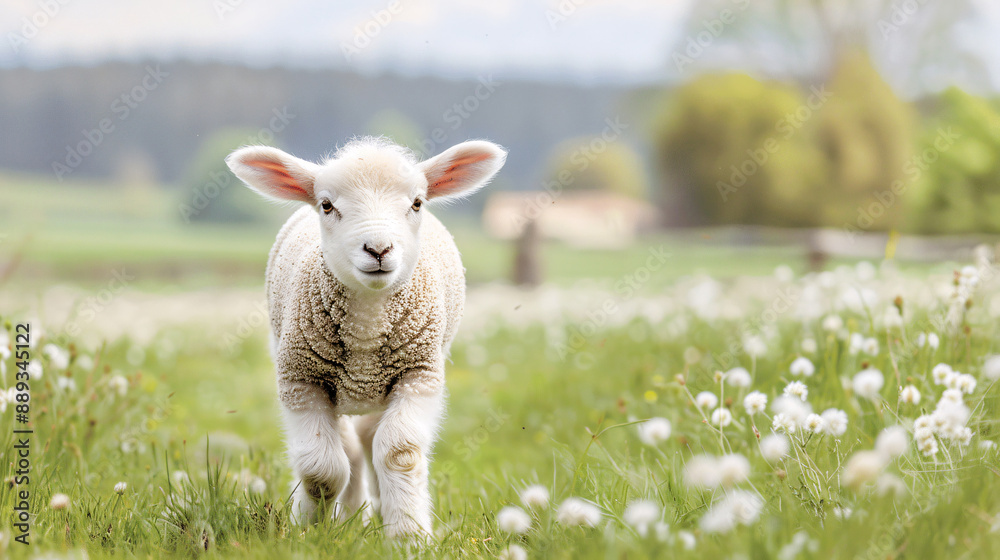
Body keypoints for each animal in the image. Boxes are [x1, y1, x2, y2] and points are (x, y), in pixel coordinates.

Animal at [226, 137, 507, 539]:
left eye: (417, 203)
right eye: (327, 205)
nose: (378, 249)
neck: (366, 325)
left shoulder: (420, 375)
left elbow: (399, 453)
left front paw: (408, 535)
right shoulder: (301, 380)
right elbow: (321, 468)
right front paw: (308, 530)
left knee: (370, 441)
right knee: (351, 450)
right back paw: (348, 517)